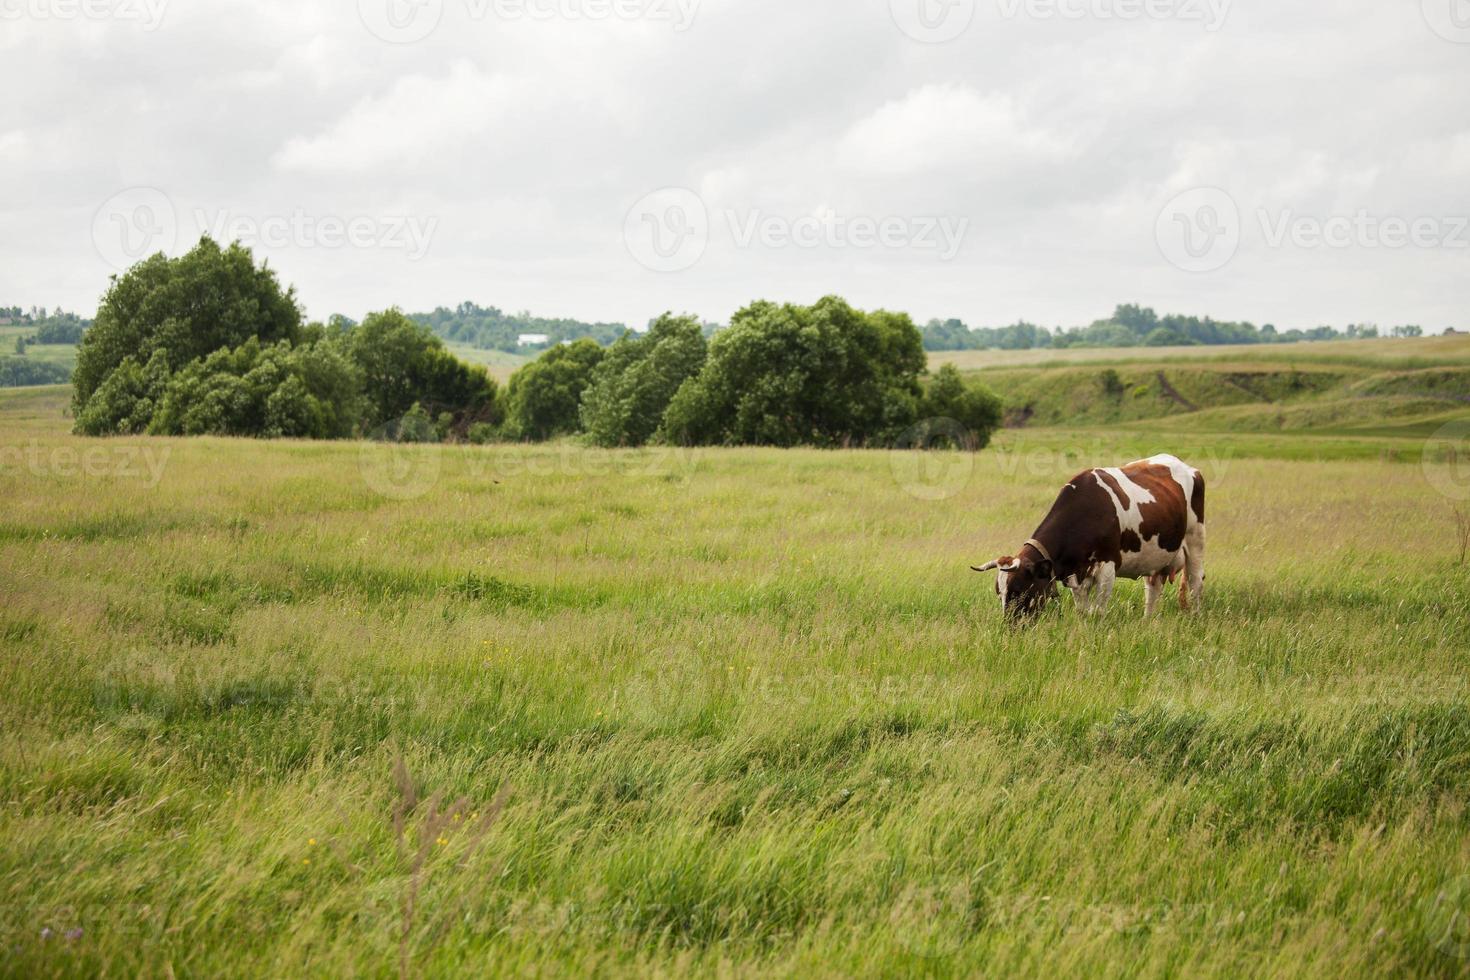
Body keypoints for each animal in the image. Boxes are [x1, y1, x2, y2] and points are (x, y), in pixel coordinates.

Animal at [976, 455, 1205, 620]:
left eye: (1020, 590)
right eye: (999, 593)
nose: (1011, 626)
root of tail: (1188, 467)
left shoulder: (1108, 567)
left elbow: (1097, 612)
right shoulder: (1075, 574)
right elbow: (1083, 611)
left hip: (1195, 539)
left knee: (1195, 581)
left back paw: (1194, 617)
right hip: (1155, 556)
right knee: (1153, 587)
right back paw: (1147, 621)